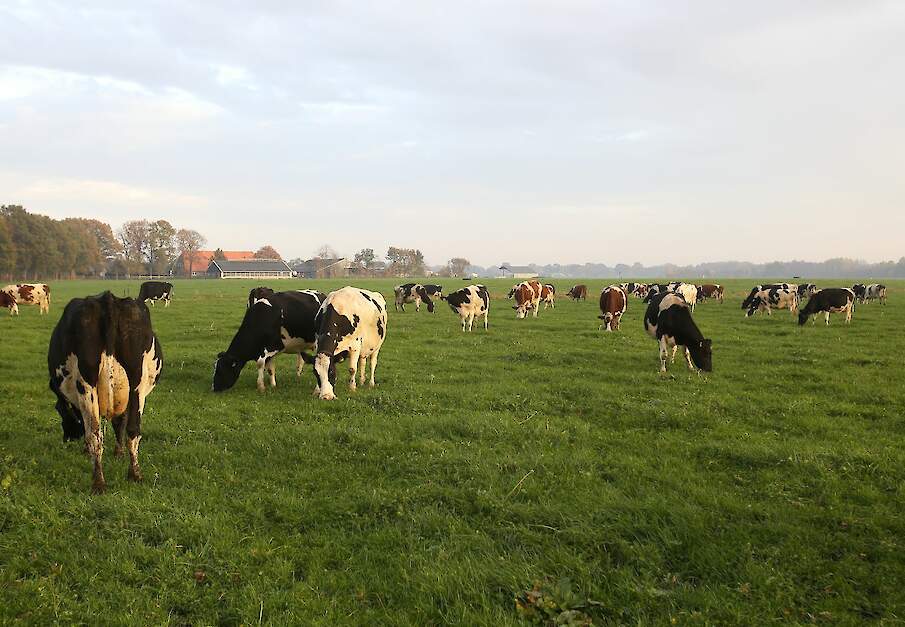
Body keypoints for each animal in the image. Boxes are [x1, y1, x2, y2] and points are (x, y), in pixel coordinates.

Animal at [47, 292, 165, 494]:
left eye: (59, 410)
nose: (67, 438)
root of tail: (107, 299)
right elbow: (120, 423)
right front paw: (119, 452)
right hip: (137, 384)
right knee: (132, 430)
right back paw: (134, 475)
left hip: (86, 386)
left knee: (95, 435)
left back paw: (98, 483)